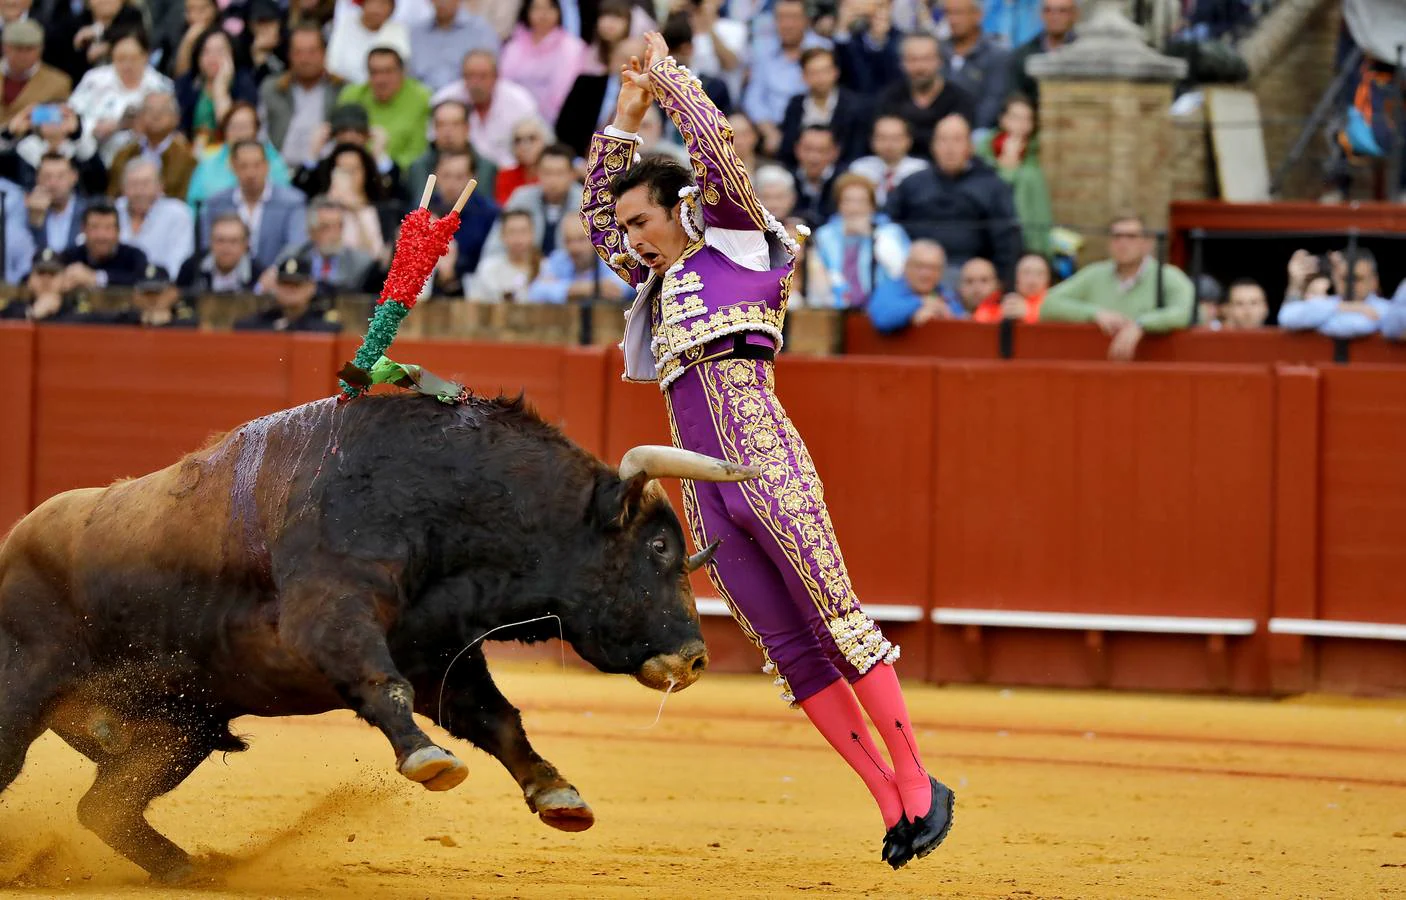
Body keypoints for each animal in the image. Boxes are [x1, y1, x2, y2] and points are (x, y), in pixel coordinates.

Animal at [0, 390, 759, 877]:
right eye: (657, 548)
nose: (694, 657)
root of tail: (16, 540)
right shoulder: (331, 615)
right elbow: (380, 684)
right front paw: (429, 761)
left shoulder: (437, 656)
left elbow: (497, 719)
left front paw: (557, 795)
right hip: (24, 697)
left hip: (180, 728)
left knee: (105, 809)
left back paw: (195, 872)